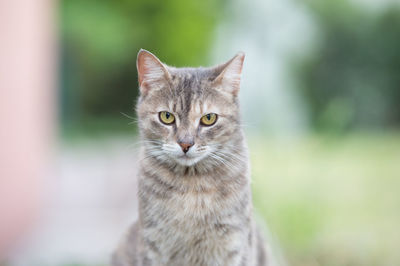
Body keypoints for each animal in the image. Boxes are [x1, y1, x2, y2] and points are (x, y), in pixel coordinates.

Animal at [111, 48, 268, 264]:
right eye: (166, 117)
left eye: (209, 118)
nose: (185, 143)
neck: (192, 187)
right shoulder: (153, 247)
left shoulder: (235, 246)